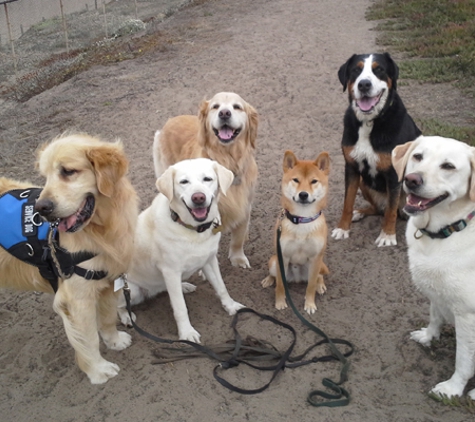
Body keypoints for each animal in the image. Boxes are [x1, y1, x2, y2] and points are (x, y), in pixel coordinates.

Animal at [332, 52, 422, 247]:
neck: (369, 122)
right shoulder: (351, 168)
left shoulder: (394, 175)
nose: (364, 84)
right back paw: (360, 212)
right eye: (356, 70)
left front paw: (387, 236)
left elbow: (391, 210)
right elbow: (347, 203)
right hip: (364, 183)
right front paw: (343, 228)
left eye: (379, 69)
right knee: (378, 208)